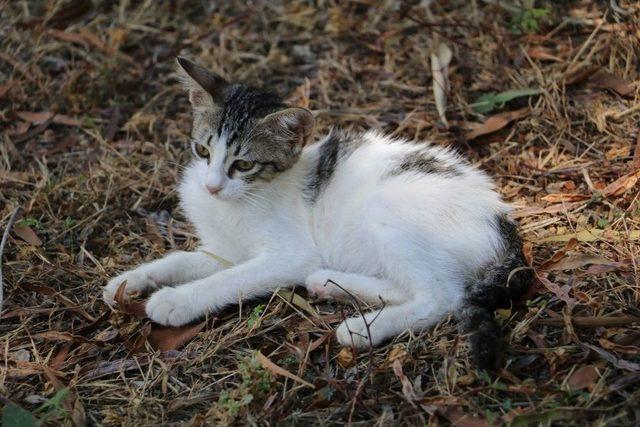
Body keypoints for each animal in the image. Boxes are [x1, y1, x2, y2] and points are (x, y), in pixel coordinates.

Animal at [105, 56, 532, 372]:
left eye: (244, 165)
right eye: (203, 151)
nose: (211, 187)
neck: (243, 199)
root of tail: (502, 222)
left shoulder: (289, 254)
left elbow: (231, 279)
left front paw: (176, 300)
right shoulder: (224, 250)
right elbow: (182, 259)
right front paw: (130, 282)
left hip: (383, 209)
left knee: (442, 294)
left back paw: (362, 329)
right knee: (411, 284)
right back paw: (331, 282)